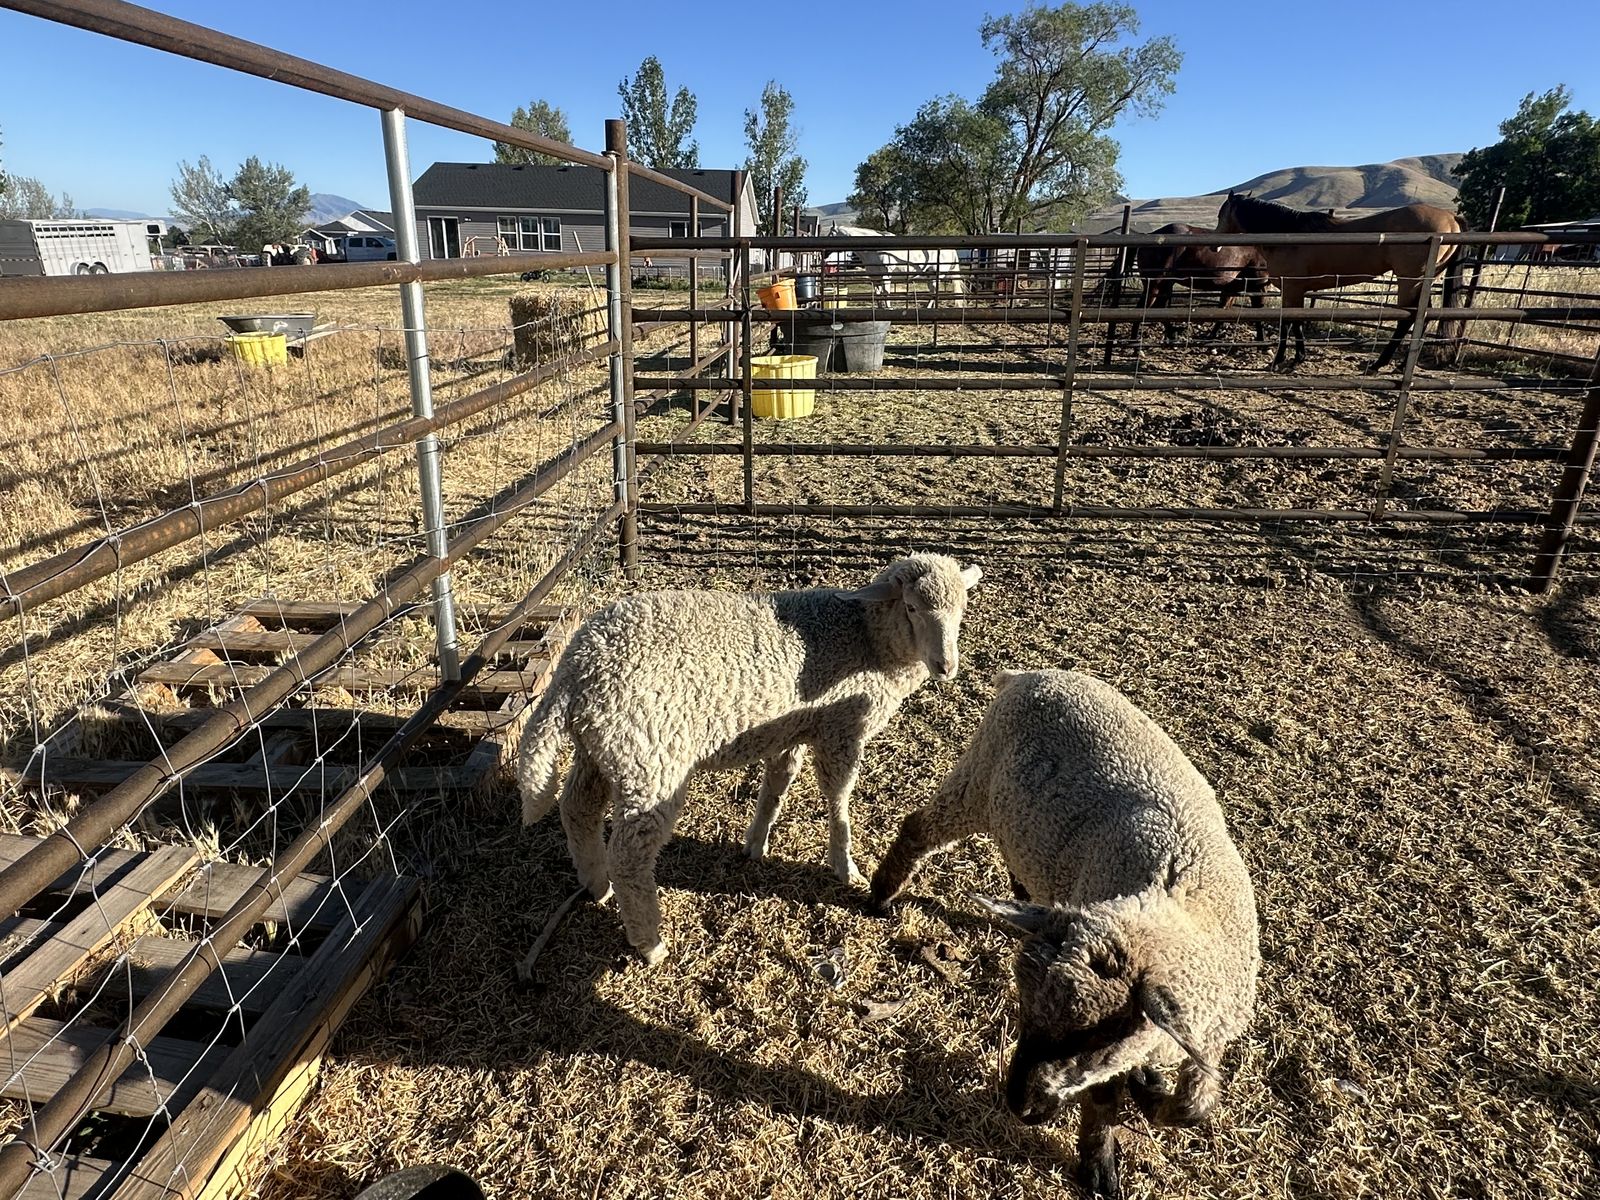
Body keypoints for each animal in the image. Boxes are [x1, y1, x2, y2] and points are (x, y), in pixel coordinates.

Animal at [517, 553, 982, 969]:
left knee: (576, 809)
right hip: (649, 760)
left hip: (601, 750)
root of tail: (574, 671)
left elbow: (777, 784)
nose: (946, 666)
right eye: (912, 607)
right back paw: (650, 943)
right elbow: (838, 800)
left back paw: (596, 885)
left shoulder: (791, 728)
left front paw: (756, 843)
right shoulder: (840, 730)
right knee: (629, 856)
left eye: (961, 611)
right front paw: (844, 865)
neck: (864, 635)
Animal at [869, 668, 1259, 1200]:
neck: (1174, 906)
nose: (1021, 1106)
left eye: (1095, 1038)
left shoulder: (1208, 1031)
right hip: (977, 778)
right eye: (1022, 1009)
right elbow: (1106, 1101)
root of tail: (1031, 675)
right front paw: (1100, 1164)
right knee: (919, 828)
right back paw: (880, 895)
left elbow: (1193, 1106)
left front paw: (1150, 1093)